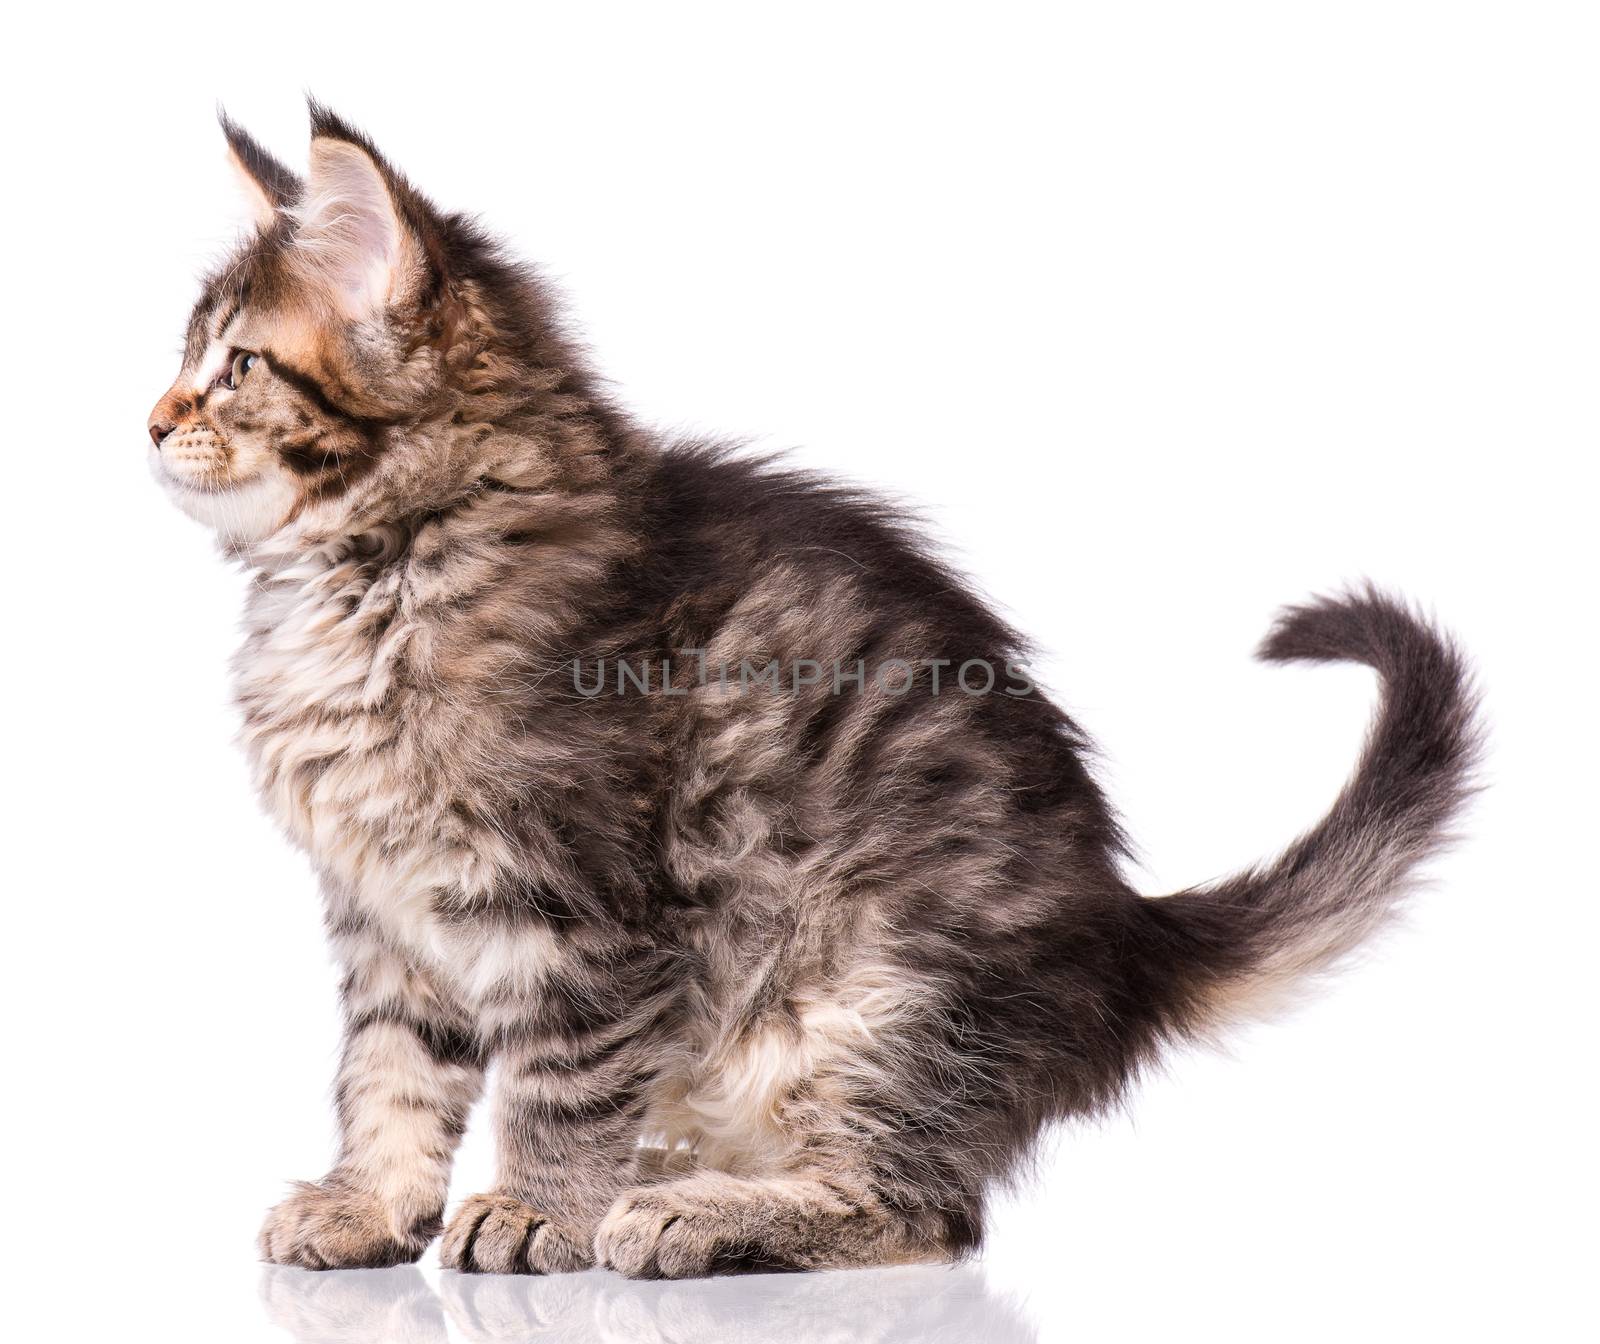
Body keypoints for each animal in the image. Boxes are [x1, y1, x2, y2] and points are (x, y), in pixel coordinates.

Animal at [147, 108, 1472, 1280]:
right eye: (181, 362)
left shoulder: (577, 904)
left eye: (237, 367)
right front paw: (370, 1206)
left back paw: (697, 1213)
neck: (375, 574)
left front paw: (537, 1210)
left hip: (876, 988)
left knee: (921, 1210)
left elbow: (560, 1080)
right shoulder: (384, 915)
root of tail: (1122, 939)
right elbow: (389, 1072)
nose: (152, 421)